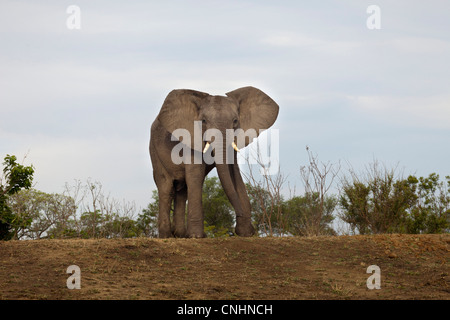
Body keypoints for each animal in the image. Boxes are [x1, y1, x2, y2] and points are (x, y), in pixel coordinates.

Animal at [149, 85, 280, 238]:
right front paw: (197, 237)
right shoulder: (191, 137)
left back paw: (180, 235)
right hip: (154, 151)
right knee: (166, 187)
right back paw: (167, 236)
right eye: (204, 121)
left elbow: (233, 172)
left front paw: (246, 233)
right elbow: (196, 174)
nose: (252, 229)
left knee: (183, 190)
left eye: (235, 121)